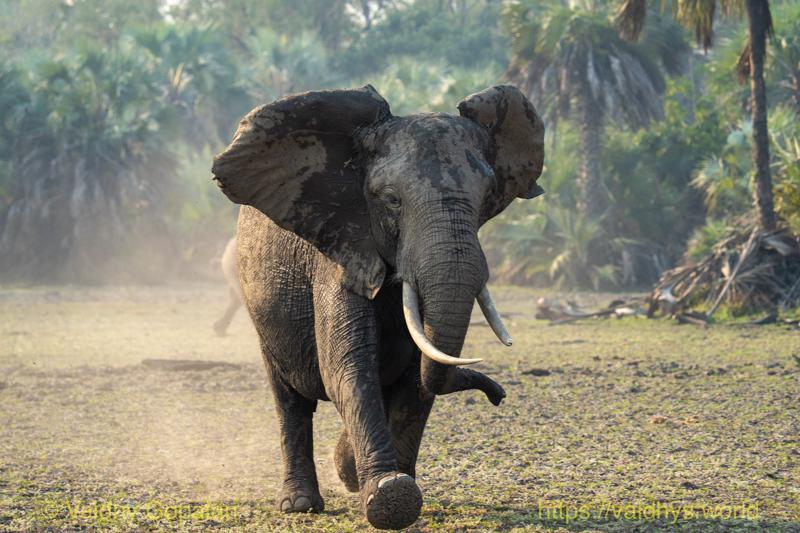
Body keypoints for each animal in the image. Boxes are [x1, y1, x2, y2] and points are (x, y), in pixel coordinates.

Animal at [212, 84, 545, 530]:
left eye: (486, 196)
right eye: (391, 200)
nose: (499, 395)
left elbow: (416, 380)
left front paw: (385, 484)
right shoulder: (339, 249)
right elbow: (347, 366)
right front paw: (390, 495)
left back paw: (347, 471)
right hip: (262, 313)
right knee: (290, 399)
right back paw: (300, 503)